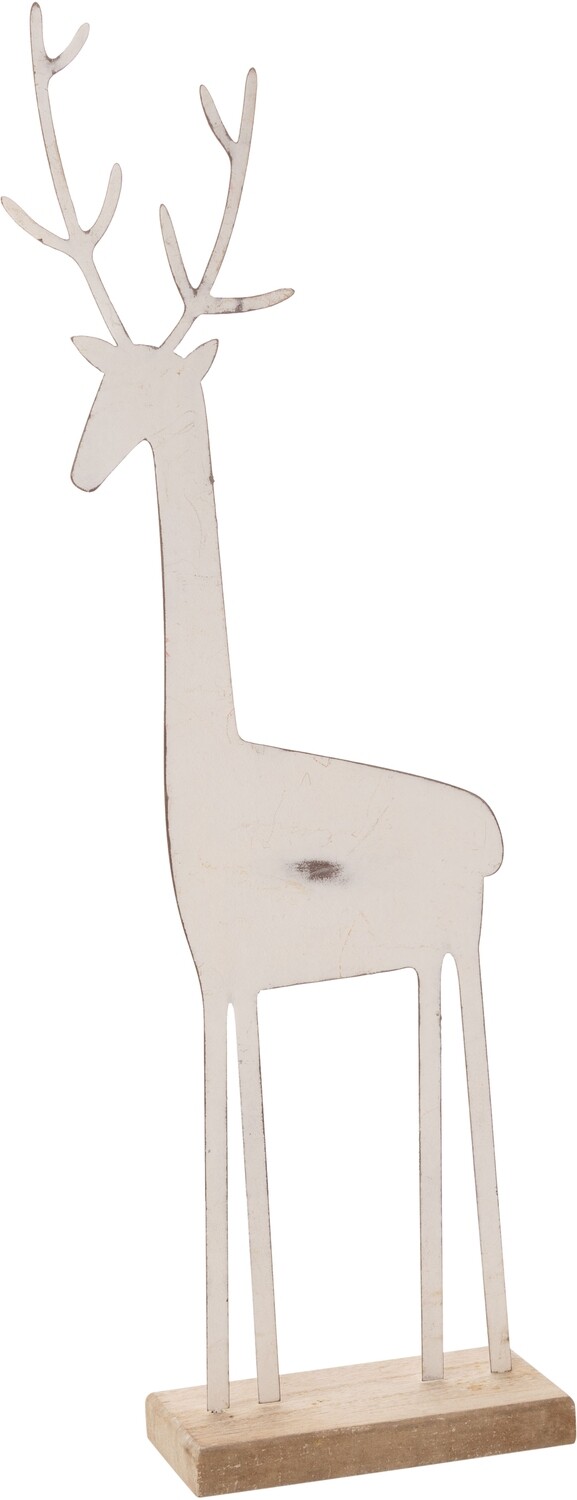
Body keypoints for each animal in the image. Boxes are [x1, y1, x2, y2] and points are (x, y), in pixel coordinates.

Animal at [3, 5, 511, 1414]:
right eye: (97, 382)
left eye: (151, 392)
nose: (75, 473)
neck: (217, 770)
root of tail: (496, 830)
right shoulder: (214, 977)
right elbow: (234, 1143)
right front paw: (244, 1405)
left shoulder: (232, 970)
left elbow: (247, 1154)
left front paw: (256, 1403)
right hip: (428, 953)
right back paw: (443, 1366)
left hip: (462, 943)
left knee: (477, 1097)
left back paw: (485, 1369)